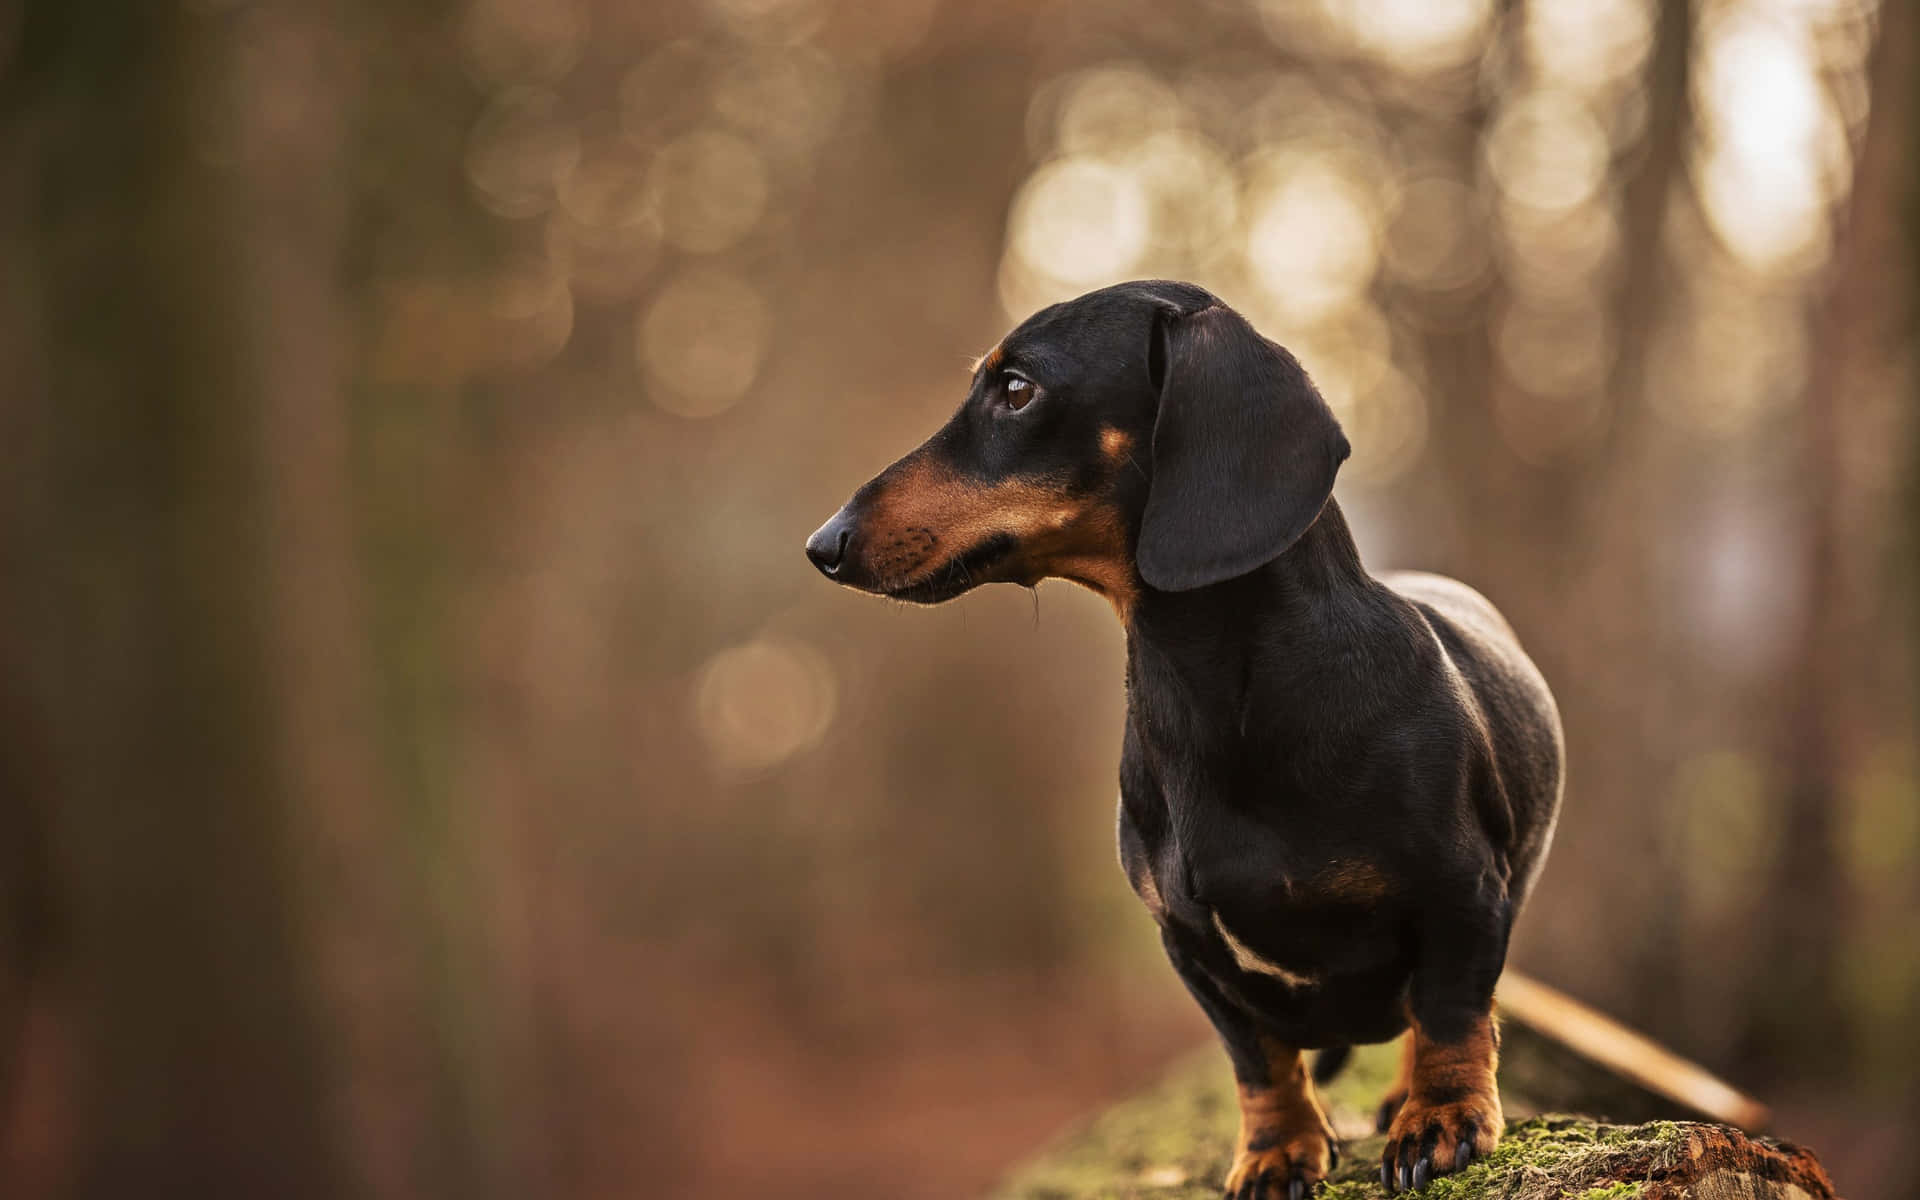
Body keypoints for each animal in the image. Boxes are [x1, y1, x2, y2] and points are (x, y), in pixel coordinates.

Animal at [802, 282, 1566, 1198]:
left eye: (1016, 388)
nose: (822, 544)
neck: (1220, 700)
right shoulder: (1189, 945)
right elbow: (1257, 1059)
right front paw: (1275, 1153)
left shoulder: (1462, 894)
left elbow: (1451, 1011)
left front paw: (1439, 1120)